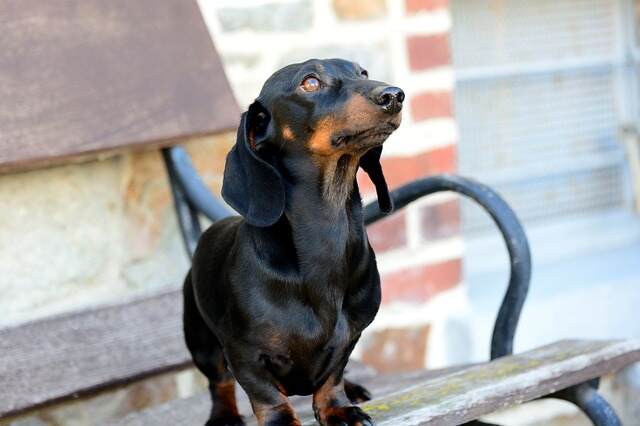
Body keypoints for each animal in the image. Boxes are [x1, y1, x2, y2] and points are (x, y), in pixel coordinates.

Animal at [185, 58, 402, 424]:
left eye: (363, 73)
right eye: (310, 82)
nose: (394, 95)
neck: (325, 230)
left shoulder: (349, 337)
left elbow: (332, 378)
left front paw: (340, 408)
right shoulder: (243, 353)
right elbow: (265, 394)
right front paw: (281, 420)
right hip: (202, 343)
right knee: (220, 382)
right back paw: (224, 414)